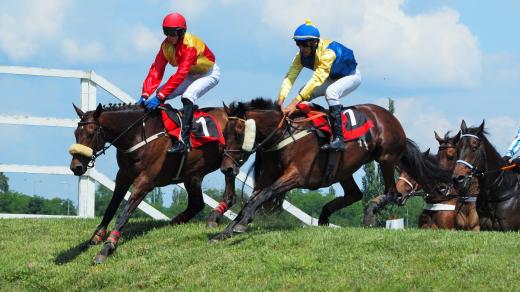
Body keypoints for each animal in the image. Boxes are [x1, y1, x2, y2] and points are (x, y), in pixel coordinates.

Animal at [68, 104, 235, 264]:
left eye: (91, 133)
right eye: (76, 134)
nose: (76, 167)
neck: (137, 137)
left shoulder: (145, 182)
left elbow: (124, 214)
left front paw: (107, 248)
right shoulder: (123, 176)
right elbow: (111, 207)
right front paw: (96, 236)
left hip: (226, 160)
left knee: (227, 189)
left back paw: (215, 215)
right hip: (193, 175)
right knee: (197, 203)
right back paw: (176, 221)